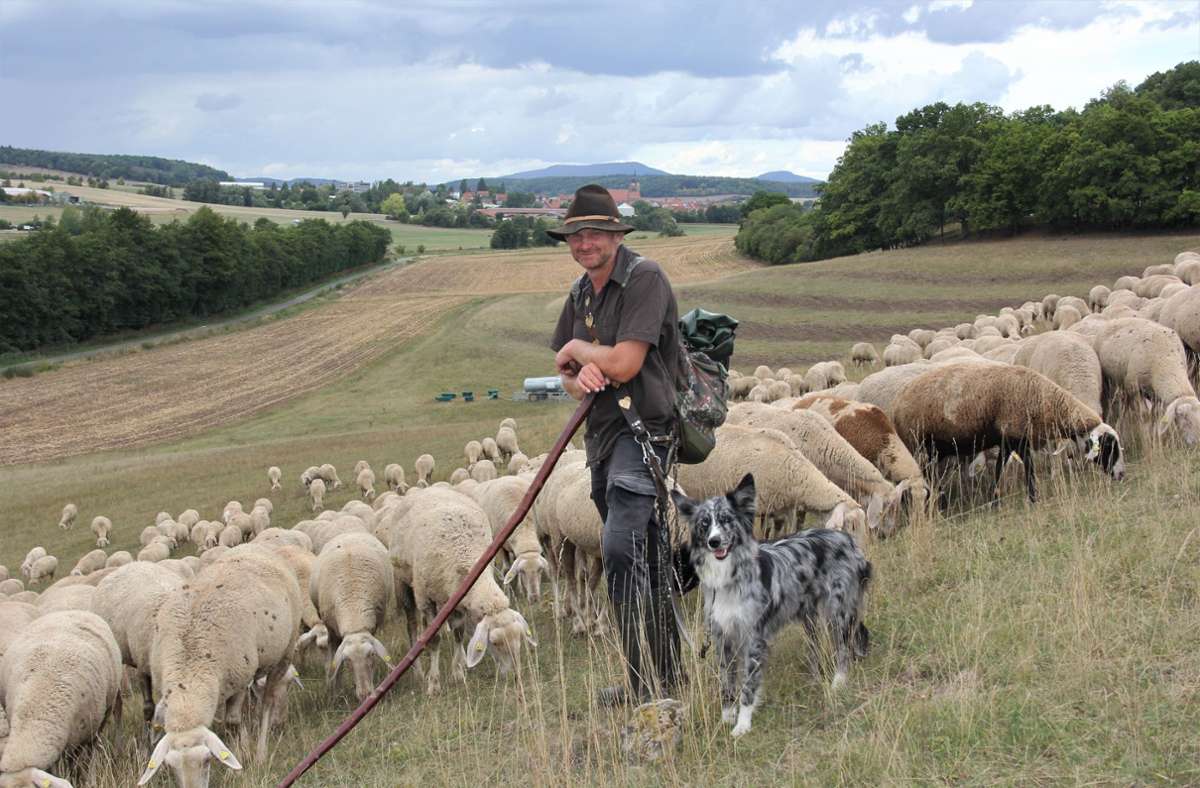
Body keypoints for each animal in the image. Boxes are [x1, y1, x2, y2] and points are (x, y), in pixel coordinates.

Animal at [309, 532, 393, 695]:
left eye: (372, 655)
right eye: (347, 660)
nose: (365, 694)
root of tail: (348, 533)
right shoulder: (331, 628)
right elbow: (335, 662)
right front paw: (335, 689)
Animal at [892, 359, 1123, 501]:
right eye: (1108, 445)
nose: (1121, 474)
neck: (1043, 399)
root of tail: (899, 400)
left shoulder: (1009, 441)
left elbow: (1000, 470)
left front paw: (997, 498)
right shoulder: (1016, 438)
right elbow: (1026, 470)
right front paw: (1031, 499)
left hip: (935, 449)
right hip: (917, 443)